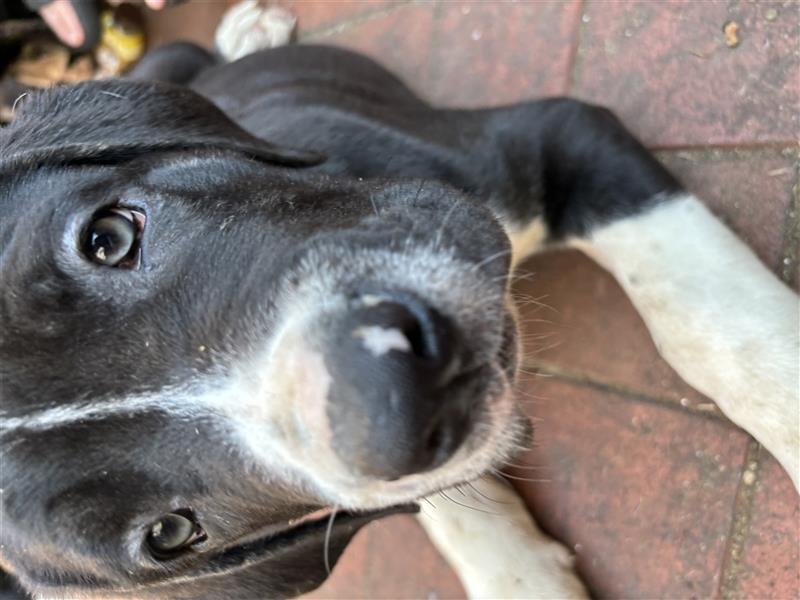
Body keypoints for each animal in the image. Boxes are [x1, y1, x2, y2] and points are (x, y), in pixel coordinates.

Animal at [1, 34, 800, 600]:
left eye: (108, 237)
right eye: (169, 535)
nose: (391, 399)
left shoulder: (559, 132)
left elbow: (708, 327)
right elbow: (424, 500)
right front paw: (518, 576)